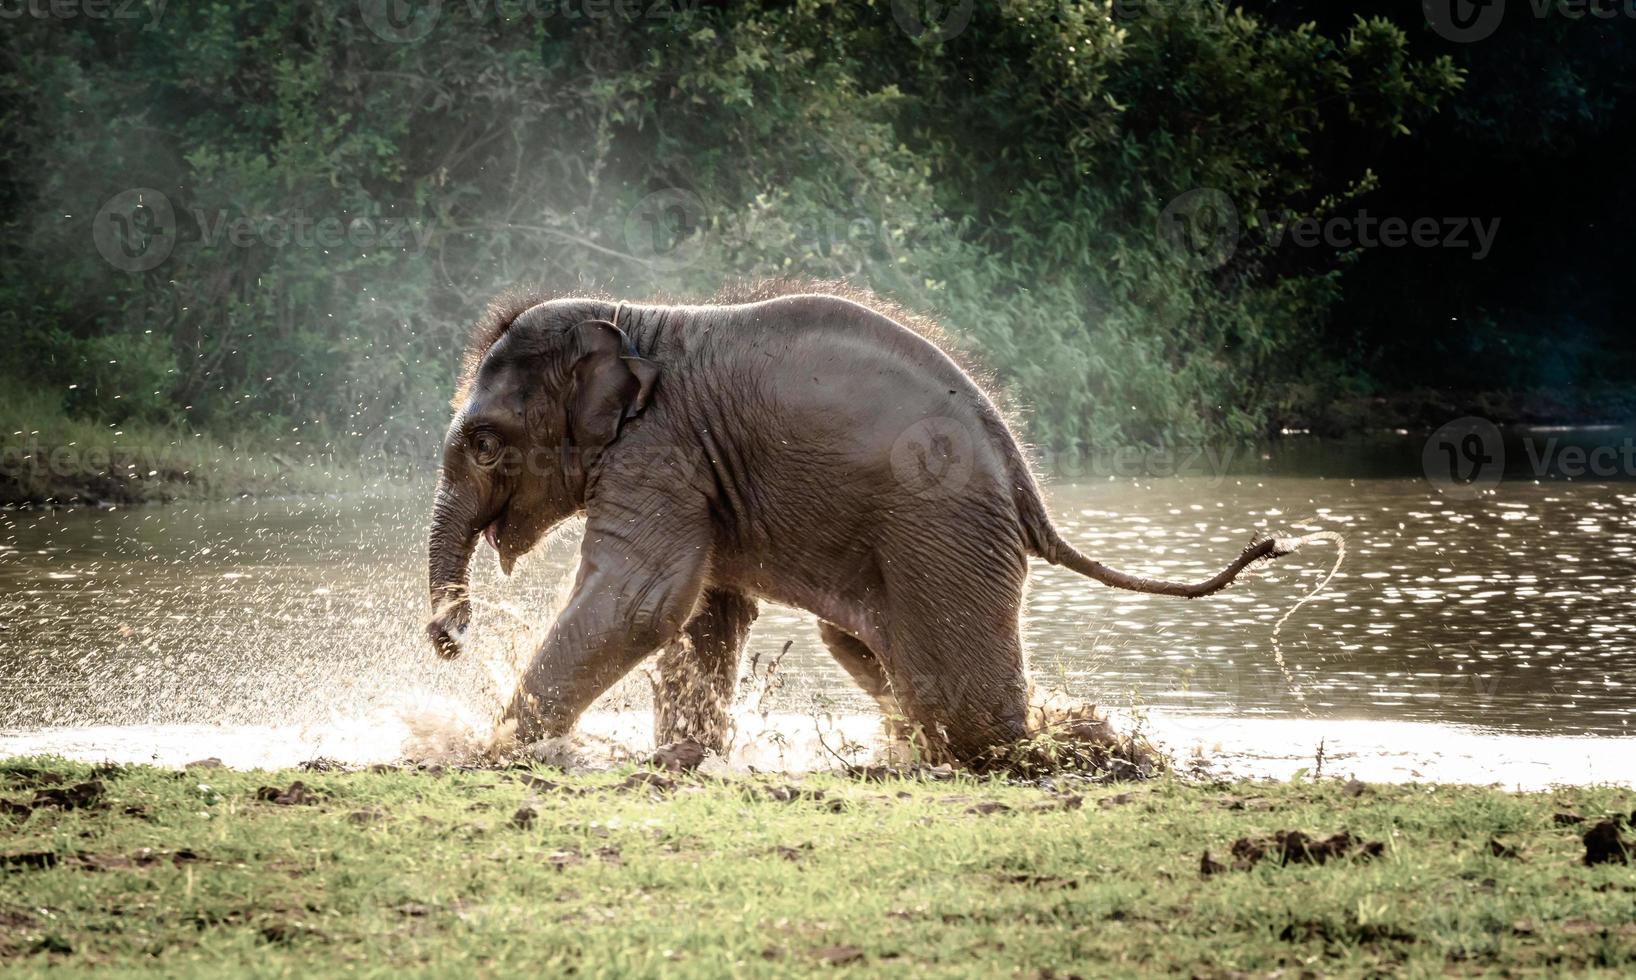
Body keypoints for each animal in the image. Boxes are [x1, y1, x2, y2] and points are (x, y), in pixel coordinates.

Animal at [428, 289, 1295, 765]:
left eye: (485, 443)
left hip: (944, 530)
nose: (449, 637)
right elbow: (705, 611)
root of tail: (1026, 491)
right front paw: (681, 759)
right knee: (870, 652)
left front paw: (490, 751)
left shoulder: (660, 452)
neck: (629, 318)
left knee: (965, 704)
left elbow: (641, 599)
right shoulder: (697, 471)